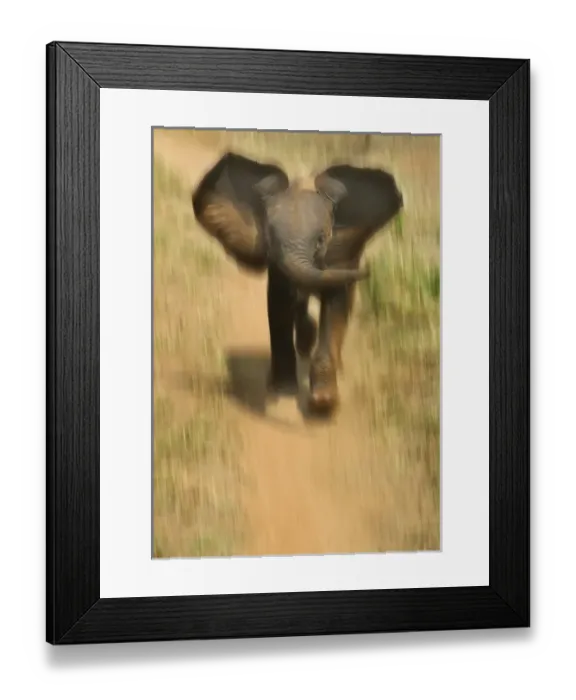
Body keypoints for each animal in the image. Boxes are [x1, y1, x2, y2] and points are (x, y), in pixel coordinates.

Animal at [191, 151, 404, 414]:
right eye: (270, 238)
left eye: (321, 239)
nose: (369, 270)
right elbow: (280, 303)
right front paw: (284, 390)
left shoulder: (340, 254)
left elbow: (336, 302)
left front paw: (323, 403)